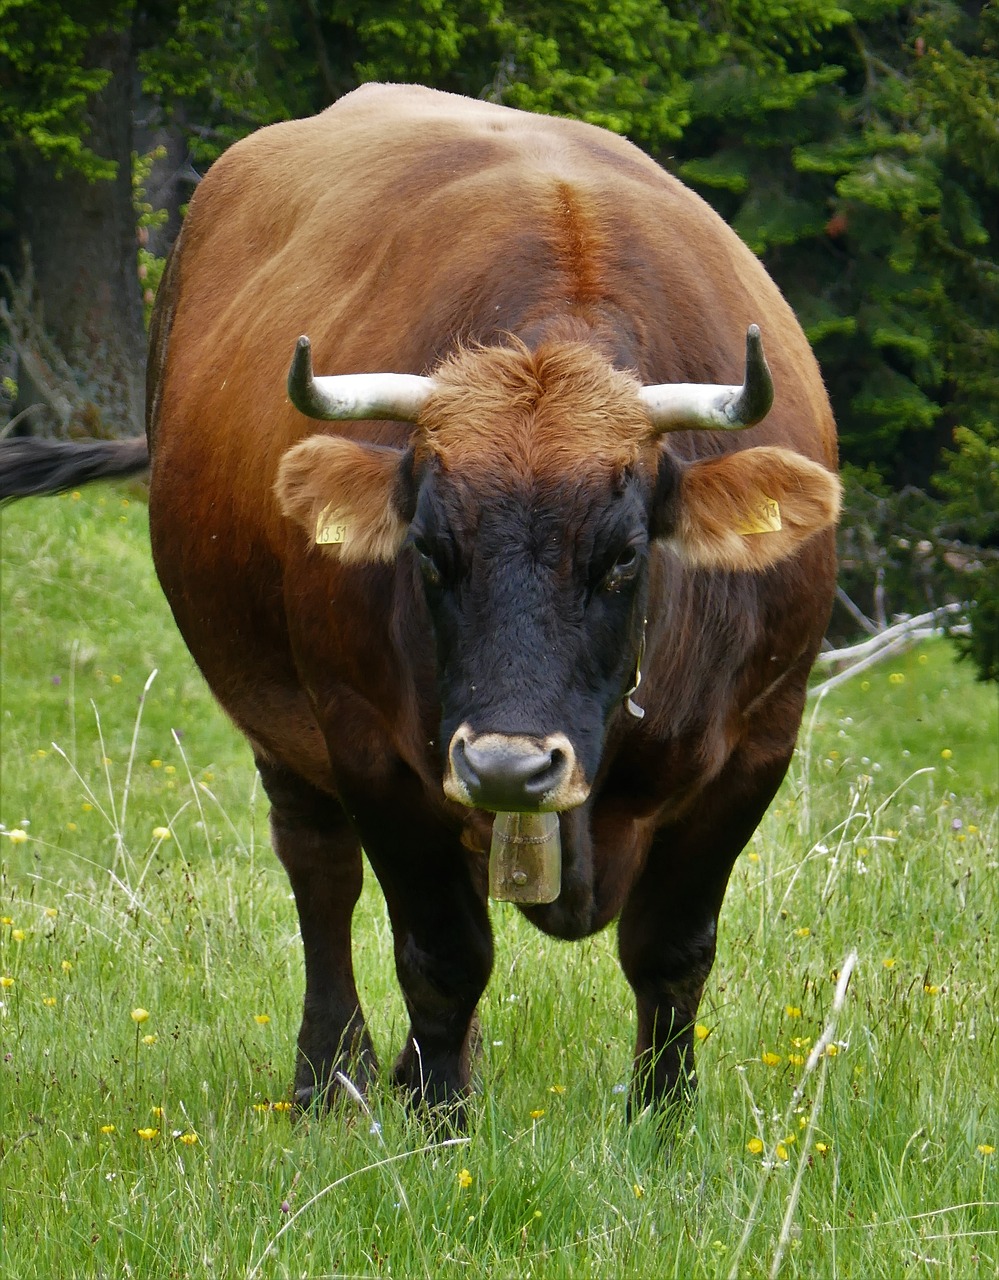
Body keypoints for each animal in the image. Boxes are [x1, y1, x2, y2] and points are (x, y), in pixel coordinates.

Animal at [0, 83, 840, 1124]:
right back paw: (332, 1072)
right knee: (320, 873)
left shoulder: (760, 736)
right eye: (433, 553)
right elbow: (440, 954)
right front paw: (442, 1126)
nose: (508, 764)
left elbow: (671, 951)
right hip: (284, 719)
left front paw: (662, 1120)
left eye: (621, 557)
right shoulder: (369, 744)